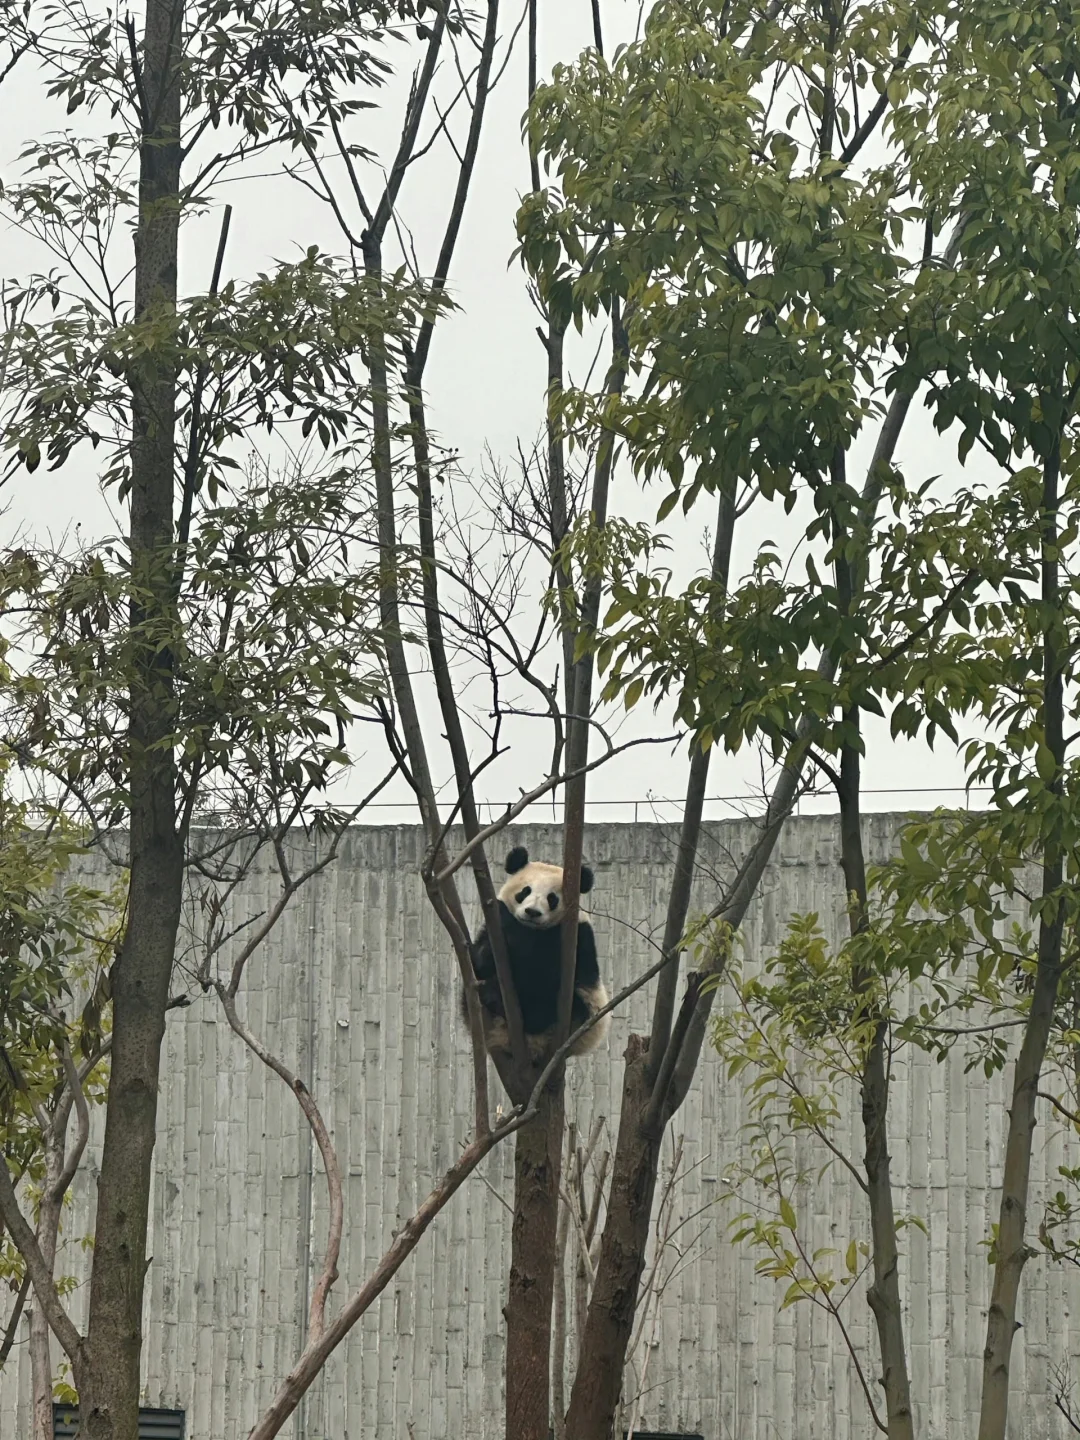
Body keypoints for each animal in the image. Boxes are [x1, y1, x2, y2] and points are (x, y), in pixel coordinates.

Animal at [460, 840, 613, 1059]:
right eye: (525, 891)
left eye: (552, 898)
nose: (532, 912)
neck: (530, 930)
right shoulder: (494, 925)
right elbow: (481, 961)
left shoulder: (574, 938)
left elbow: (544, 971)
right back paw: (492, 995)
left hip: (585, 1014)